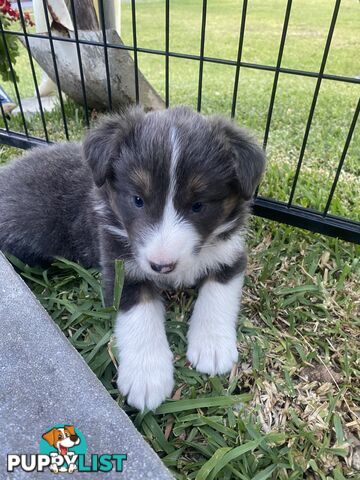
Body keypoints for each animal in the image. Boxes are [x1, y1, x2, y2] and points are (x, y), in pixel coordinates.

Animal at [0, 107, 264, 410]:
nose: (162, 266)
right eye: (138, 200)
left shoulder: (229, 255)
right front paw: (147, 378)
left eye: (199, 206)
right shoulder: (120, 268)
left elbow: (218, 296)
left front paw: (212, 346)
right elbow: (140, 316)